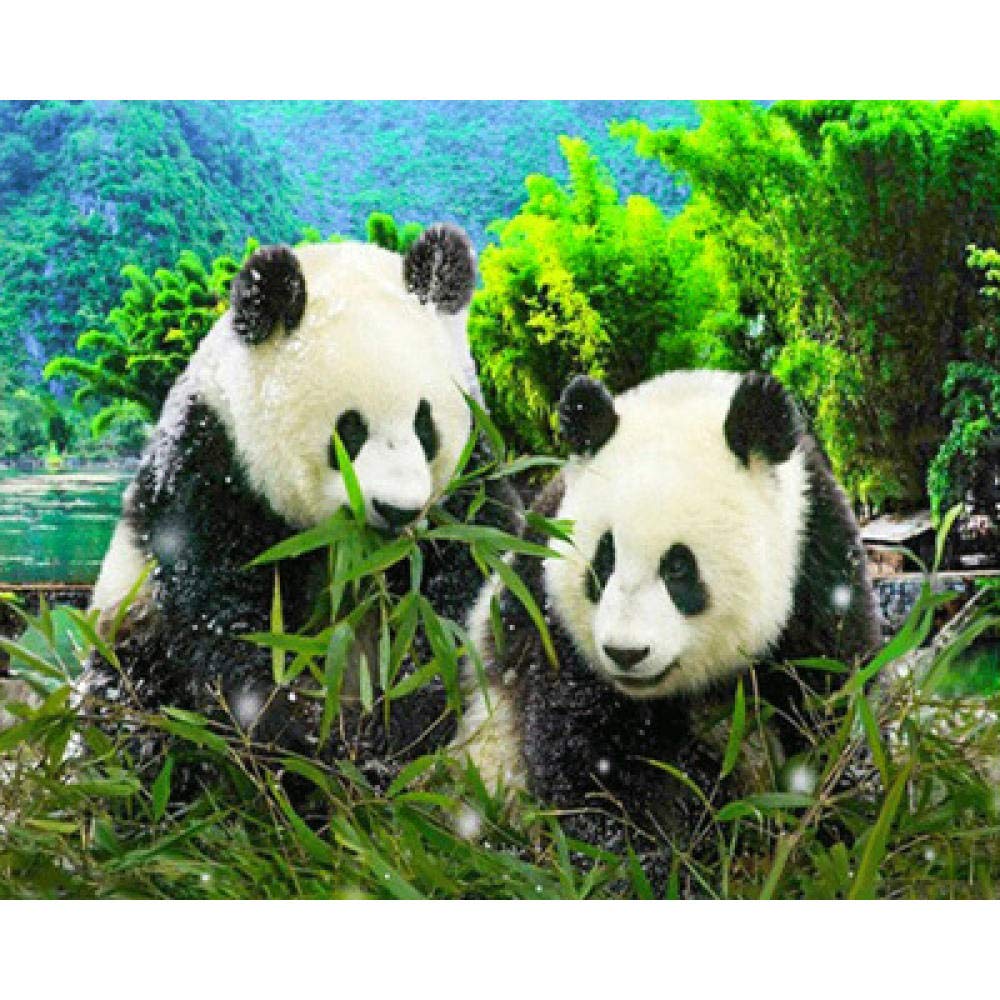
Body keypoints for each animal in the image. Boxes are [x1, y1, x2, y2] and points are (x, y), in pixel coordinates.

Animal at [86, 225, 518, 769]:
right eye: (349, 431)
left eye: (425, 425)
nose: (398, 510)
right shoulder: (210, 467)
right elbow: (222, 613)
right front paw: (303, 731)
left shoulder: (469, 483)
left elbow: (465, 592)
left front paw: (395, 721)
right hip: (130, 627)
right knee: (131, 707)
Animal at [454, 369, 882, 869]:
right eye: (603, 561)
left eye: (679, 567)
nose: (626, 653)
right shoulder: (551, 624)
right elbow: (596, 760)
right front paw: (647, 865)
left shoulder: (817, 567)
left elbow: (829, 707)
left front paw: (836, 828)